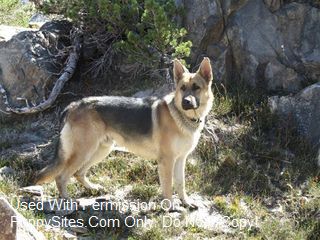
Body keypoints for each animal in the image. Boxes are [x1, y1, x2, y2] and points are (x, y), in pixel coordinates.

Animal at [35, 57, 212, 209]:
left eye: (196, 87)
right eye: (182, 88)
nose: (186, 102)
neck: (183, 117)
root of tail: (73, 105)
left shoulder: (180, 159)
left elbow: (181, 184)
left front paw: (186, 203)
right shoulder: (166, 161)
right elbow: (168, 187)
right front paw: (170, 208)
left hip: (100, 151)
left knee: (78, 173)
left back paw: (93, 188)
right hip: (84, 152)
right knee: (61, 176)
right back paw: (67, 201)